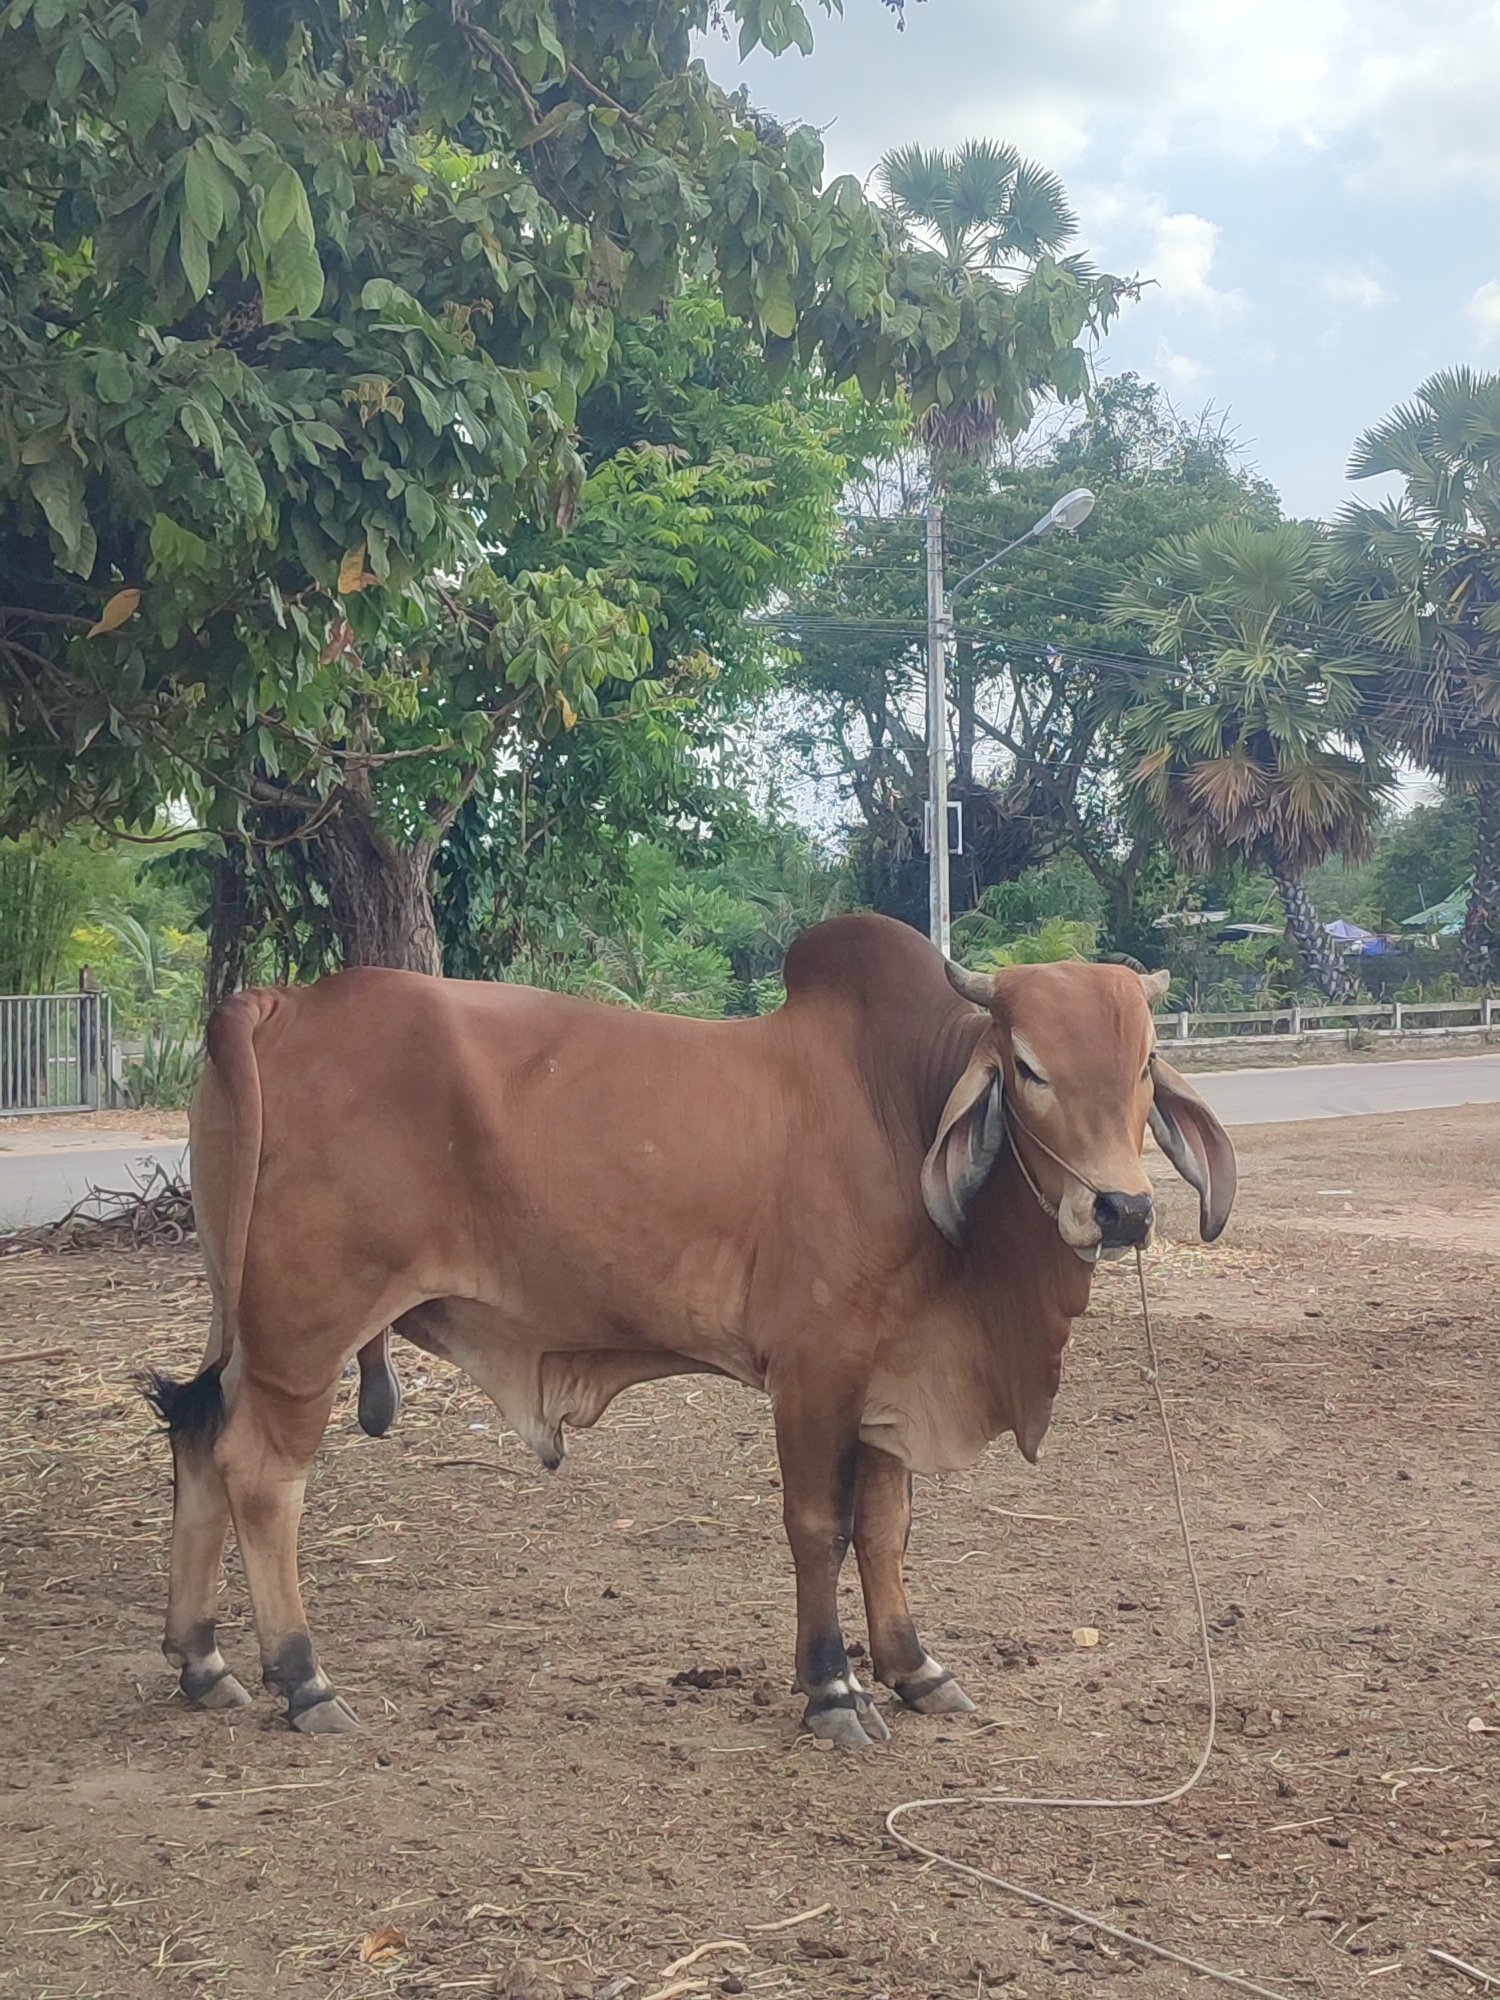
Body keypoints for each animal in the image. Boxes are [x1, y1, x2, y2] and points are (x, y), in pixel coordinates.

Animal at [146, 912, 1235, 1749]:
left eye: (1145, 1063)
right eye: (1027, 1067)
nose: (1122, 1210)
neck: (902, 1103)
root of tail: (276, 1002)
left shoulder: (890, 1370)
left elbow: (887, 1527)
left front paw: (915, 1667)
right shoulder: (815, 1369)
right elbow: (820, 1525)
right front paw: (833, 1690)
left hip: (246, 1327)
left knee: (196, 1433)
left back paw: (201, 1660)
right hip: (305, 1329)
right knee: (260, 1474)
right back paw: (302, 1677)